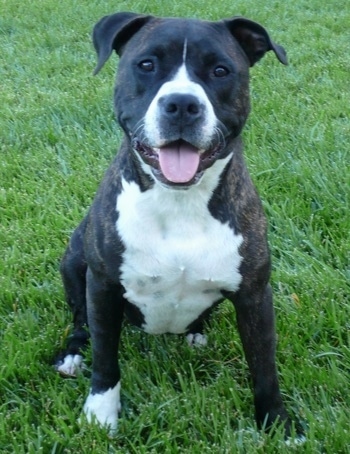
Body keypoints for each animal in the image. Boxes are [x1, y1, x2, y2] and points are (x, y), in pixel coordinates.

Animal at [55, 10, 298, 436]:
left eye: (220, 70)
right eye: (146, 65)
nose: (182, 103)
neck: (180, 201)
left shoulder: (255, 295)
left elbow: (265, 367)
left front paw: (277, 424)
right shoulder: (102, 286)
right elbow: (105, 357)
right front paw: (101, 414)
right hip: (73, 262)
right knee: (81, 321)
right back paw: (73, 354)